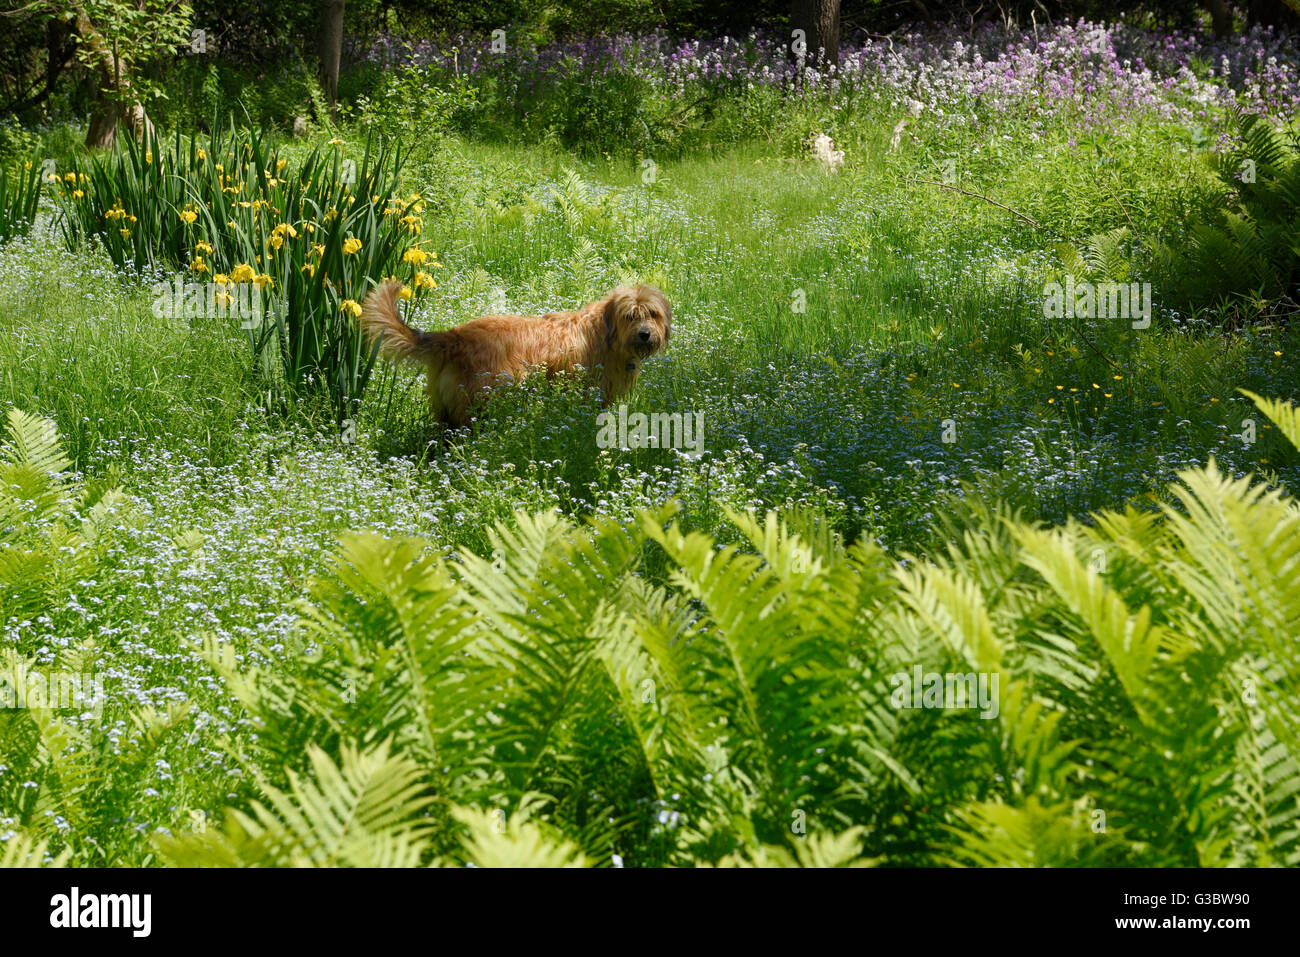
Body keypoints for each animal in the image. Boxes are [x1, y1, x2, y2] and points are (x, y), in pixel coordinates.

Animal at [361, 276, 676, 426]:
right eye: (631, 316)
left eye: (653, 314)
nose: (645, 334)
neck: (607, 334)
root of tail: (454, 336)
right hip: (482, 401)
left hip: (444, 410)